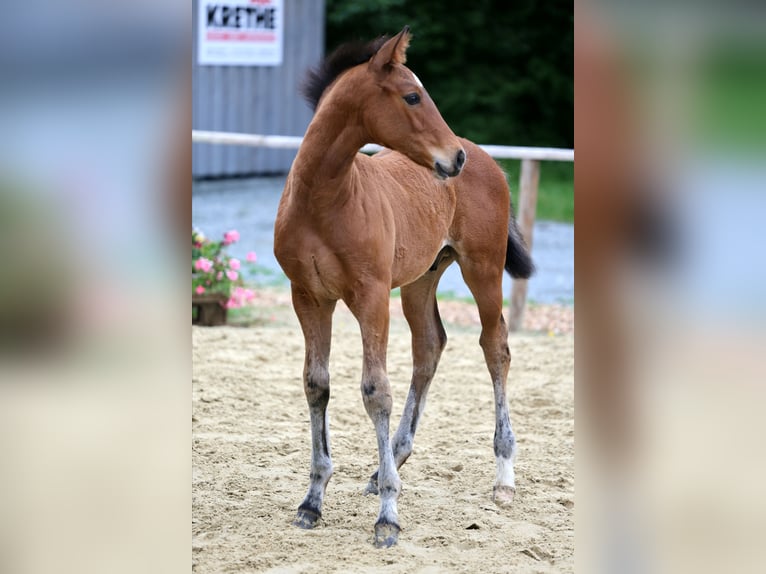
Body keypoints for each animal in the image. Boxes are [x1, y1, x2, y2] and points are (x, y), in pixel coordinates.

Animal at [273, 26, 533, 548]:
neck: (323, 200)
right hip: (421, 280)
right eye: (412, 96)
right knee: (430, 345)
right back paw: (385, 468)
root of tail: (490, 160)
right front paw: (312, 501)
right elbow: (316, 384)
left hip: (483, 268)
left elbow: (376, 391)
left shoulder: (371, 297)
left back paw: (503, 476)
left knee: (495, 347)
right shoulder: (309, 297)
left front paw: (388, 518)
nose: (455, 157)